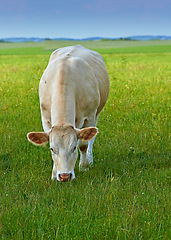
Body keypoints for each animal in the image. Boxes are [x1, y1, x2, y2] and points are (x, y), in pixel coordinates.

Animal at [26, 45, 109, 182]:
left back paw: (90, 160)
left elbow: (84, 144)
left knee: (91, 139)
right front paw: (54, 174)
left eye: (73, 147)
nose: (65, 176)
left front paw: (84, 166)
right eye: (52, 149)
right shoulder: (45, 118)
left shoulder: (90, 116)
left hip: (97, 113)